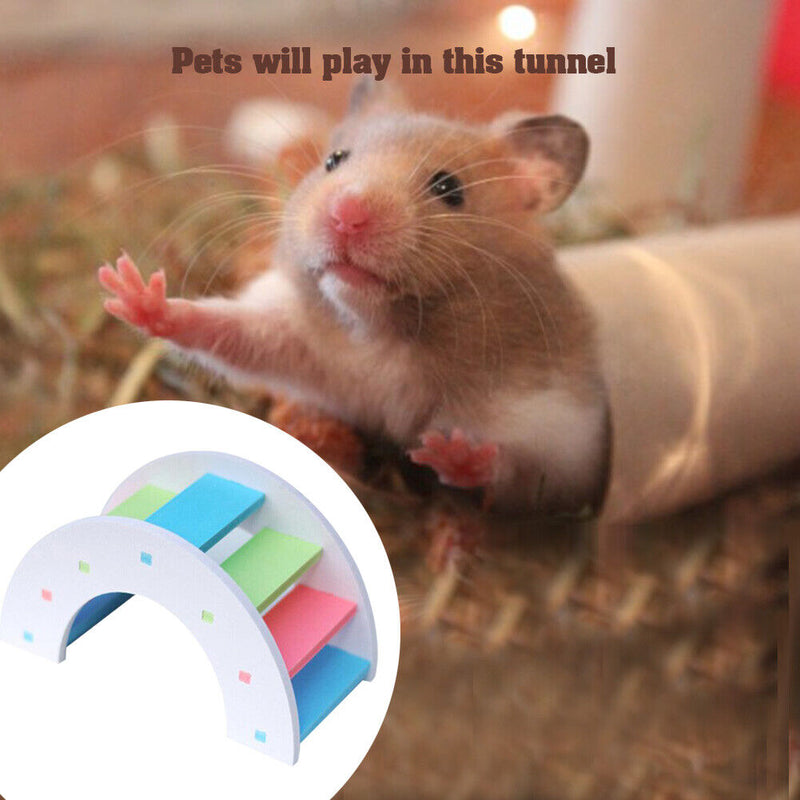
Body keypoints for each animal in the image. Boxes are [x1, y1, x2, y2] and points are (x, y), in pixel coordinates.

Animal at [98, 82, 610, 513]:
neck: (380, 331)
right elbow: (224, 329)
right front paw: (132, 292)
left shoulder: (560, 427)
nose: (346, 213)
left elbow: (519, 464)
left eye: (449, 188)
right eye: (334, 160)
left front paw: (449, 451)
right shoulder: (296, 337)